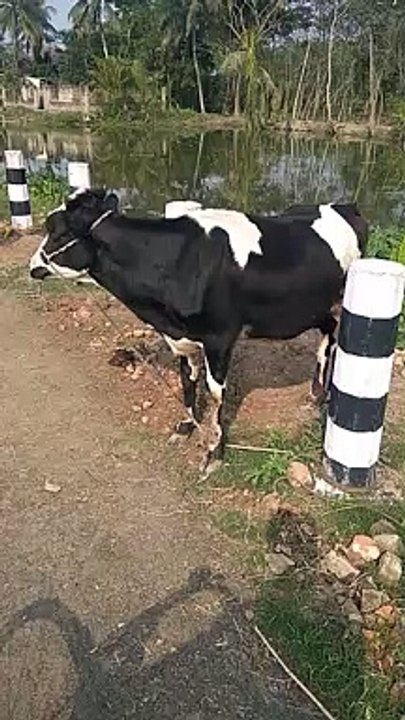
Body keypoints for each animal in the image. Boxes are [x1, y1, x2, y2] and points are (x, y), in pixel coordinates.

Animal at [29, 189, 368, 475]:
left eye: (59, 233)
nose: (32, 266)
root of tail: (344, 205)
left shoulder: (220, 338)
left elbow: (216, 394)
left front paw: (213, 453)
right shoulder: (182, 338)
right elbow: (187, 381)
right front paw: (185, 427)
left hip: (340, 303)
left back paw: (324, 398)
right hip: (317, 308)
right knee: (327, 337)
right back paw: (315, 393)